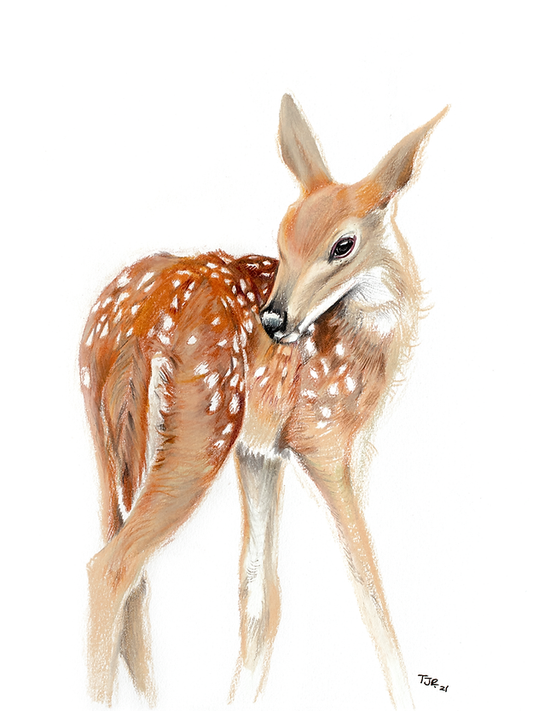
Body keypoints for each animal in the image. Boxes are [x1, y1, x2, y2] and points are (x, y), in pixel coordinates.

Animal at [80, 94, 447, 709]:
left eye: (342, 243)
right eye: (281, 240)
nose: (273, 320)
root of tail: (134, 321)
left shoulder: (261, 453)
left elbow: (260, 600)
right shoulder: (322, 440)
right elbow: (369, 583)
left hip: (111, 440)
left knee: (129, 567)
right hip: (201, 424)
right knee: (111, 566)